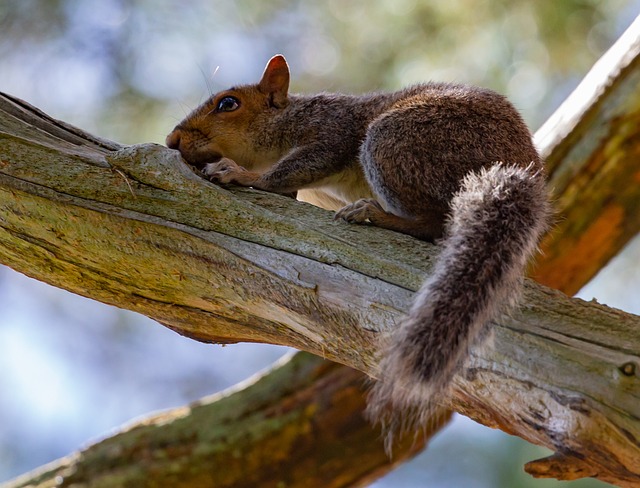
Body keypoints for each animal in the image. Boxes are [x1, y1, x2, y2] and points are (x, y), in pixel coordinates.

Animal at [166, 55, 552, 440]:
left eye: (228, 103)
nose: (172, 139)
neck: (289, 117)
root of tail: (519, 169)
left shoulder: (331, 130)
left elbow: (294, 169)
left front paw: (242, 175)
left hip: (396, 139)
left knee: (433, 222)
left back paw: (373, 213)